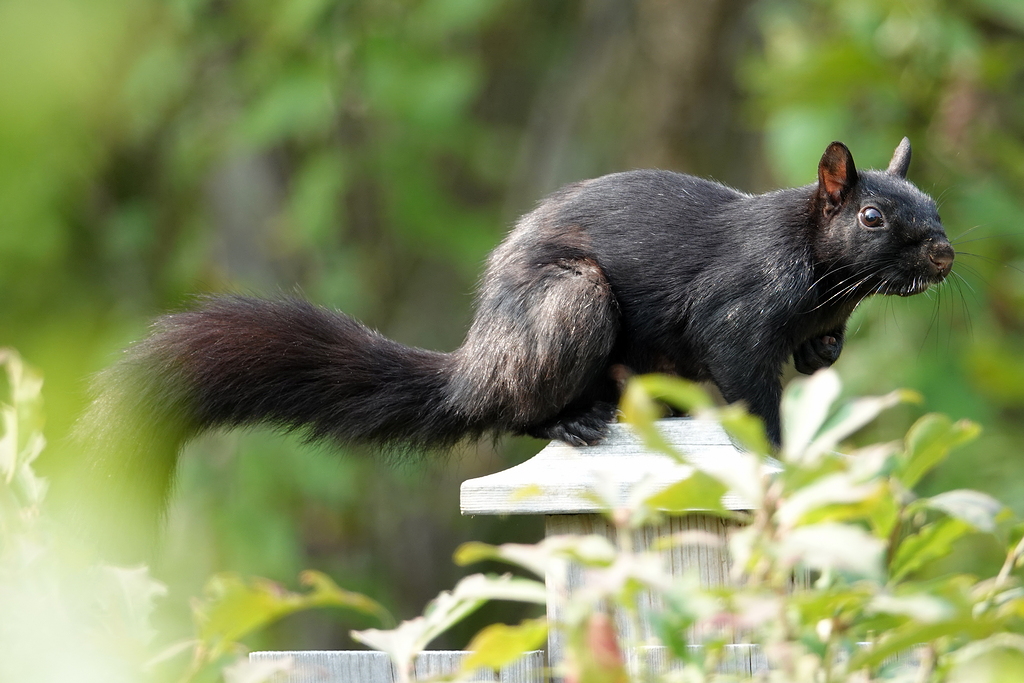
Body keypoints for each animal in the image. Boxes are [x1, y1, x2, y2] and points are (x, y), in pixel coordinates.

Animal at [77, 137, 950, 524]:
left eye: (933, 204)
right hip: (569, 308)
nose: (943, 251)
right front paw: (781, 453)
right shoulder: (735, 313)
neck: (828, 284)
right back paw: (571, 418)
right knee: (514, 411)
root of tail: (476, 362)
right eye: (872, 217)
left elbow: (814, 354)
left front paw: (825, 355)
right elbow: (749, 392)